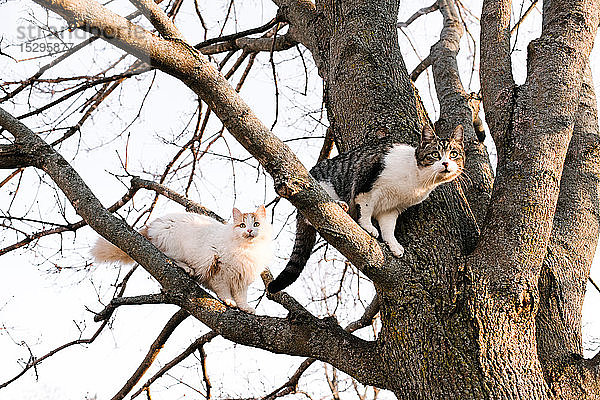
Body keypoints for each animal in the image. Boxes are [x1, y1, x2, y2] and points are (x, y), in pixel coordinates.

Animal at [91, 206, 272, 312]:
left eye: (256, 224)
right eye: (242, 225)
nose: (249, 231)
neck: (248, 249)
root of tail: (154, 224)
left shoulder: (242, 280)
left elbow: (242, 297)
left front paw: (245, 308)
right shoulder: (219, 270)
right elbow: (223, 290)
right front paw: (229, 301)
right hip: (174, 247)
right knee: (169, 257)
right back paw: (187, 269)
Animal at [270, 125, 466, 294]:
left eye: (453, 154)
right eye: (435, 154)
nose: (446, 163)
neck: (418, 179)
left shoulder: (392, 208)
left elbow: (388, 227)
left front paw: (393, 244)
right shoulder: (366, 183)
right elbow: (365, 208)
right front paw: (368, 227)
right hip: (320, 188)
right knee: (310, 212)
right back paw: (339, 205)